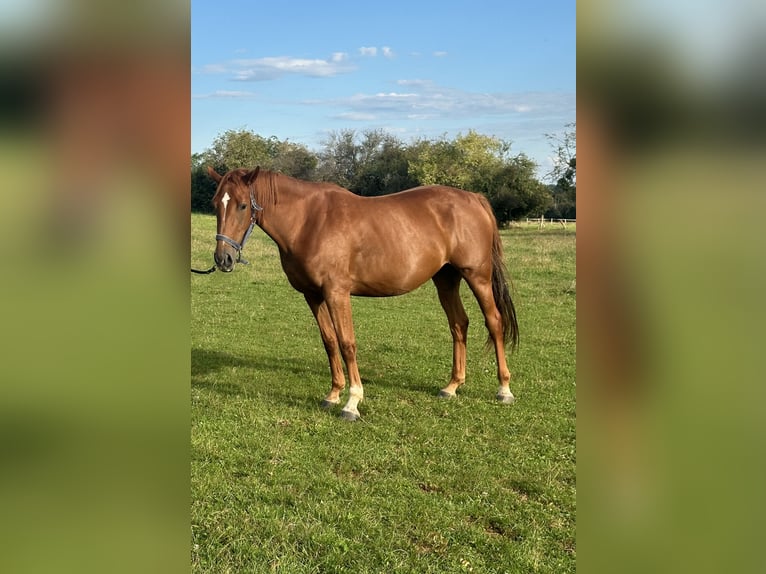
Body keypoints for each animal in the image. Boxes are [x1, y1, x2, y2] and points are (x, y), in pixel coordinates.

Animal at [207, 166, 520, 424]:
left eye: (243, 205)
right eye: (215, 204)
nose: (223, 259)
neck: (309, 221)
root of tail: (473, 198)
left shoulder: (337, 293)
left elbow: (347, 344)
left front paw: (352, 402)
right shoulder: (313, 295)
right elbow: (329, 342)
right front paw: (333, 394)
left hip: (477, 276)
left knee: (494, 322)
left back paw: (504, 388)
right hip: (446, 279)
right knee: (458, 324)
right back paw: (452, 386)